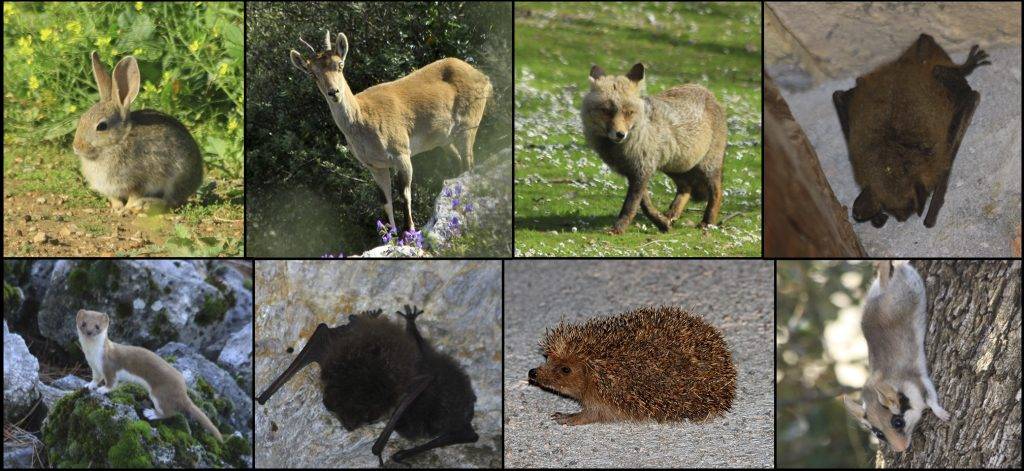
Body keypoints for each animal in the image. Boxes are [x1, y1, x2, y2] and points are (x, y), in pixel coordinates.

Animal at [73, 50, 202, 212]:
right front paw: (116, 208)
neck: (116, 143)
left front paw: (127, 208)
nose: (76, 147)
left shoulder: (139, 181)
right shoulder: (110, 189)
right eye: (82, 118)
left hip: (177, 178)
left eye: (101, 126)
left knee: (170, 201)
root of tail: (199, 177)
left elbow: (134, 195)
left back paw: (145, 205)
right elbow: (114, 198)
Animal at [77, 309, 224, 442]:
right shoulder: (94, 367)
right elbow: (95, 378)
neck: (93, 356)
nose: (89, 332)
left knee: (169, 412)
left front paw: (103, 390)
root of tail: (182, 391)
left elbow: (111, 382)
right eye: (83, 323)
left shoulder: (109, 366)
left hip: (159, 394)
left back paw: (151, 413)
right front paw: (89, 385)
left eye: (97, 326)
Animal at [290, 31, 493, 231]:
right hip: (445, 140)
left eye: (339, 65)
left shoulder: (401, 154)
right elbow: (385, 201)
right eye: (312, 74)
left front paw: (409, 231)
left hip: (469, 125)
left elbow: (404, 194)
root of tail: (483, 77)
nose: (334, 92)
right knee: (459, 164)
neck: (363, 119)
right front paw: (391, 233)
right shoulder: (375, 166)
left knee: (468, 164)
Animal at [581, 62, 724, 233]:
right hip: (673, 165)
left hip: (706, 166)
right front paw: (661, 223)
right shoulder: (634, 171)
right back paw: (671, 214)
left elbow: (630, 205)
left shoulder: (642, 170)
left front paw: (618, 228)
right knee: (686, 188)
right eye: (606, 111)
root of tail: (706, 90)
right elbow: (644, 204)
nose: (620, 134)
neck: (618, 151)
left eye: (628, 112)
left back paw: (707, 222)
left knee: (717, 192)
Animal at [839, 261, 950, 452]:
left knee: (901, 266)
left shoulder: (921, 383)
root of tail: (884, 288)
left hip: (912, 286)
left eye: (897, 422)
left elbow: (932, 401)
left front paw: (944, 415)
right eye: (879, 434)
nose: (901, 449)